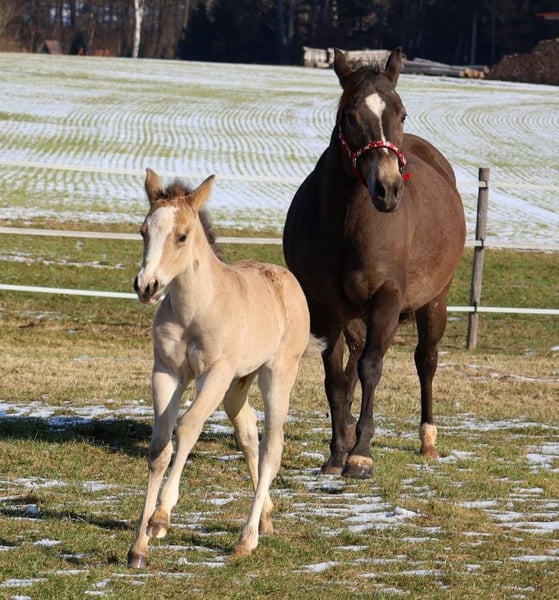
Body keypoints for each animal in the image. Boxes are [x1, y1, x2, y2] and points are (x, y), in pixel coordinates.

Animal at [128, 169, 313, 567]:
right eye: (143, 231)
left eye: (182, 236)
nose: (147, 286)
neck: (194, 309)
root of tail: (286, 279)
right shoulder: (166, 372)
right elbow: (159, 445)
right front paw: (139, 546)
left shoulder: (214, 373)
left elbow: (187, 427)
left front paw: (160, 517)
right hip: (238, 384)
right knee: (247, 433)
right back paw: (266, 516)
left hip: (275, 376)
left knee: (272, 445)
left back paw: (247, 538)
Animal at [283, 48, 466, 479]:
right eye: (349, 116)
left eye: (401, 113)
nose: (388, 189)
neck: (348, 225)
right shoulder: (326, 310)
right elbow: (336, 379)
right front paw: (336, 453)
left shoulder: (386, 299)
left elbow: (371, 368)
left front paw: (360, 454)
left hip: (434, 302)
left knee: (425, 360)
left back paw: (427, 440)